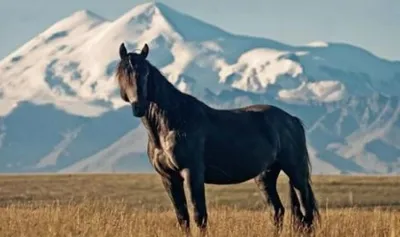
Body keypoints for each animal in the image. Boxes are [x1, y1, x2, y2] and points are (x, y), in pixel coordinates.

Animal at [115, 42, 318, 235]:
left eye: (145, 73)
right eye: (122, 73)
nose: (139, 106)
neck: (171, 124)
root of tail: (291, 119)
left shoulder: (192, 173)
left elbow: (199, 216)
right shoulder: (168, 177)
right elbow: (182, 218)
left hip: (296, 172)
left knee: (306, 213)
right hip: (265, 176)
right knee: (277, 211)